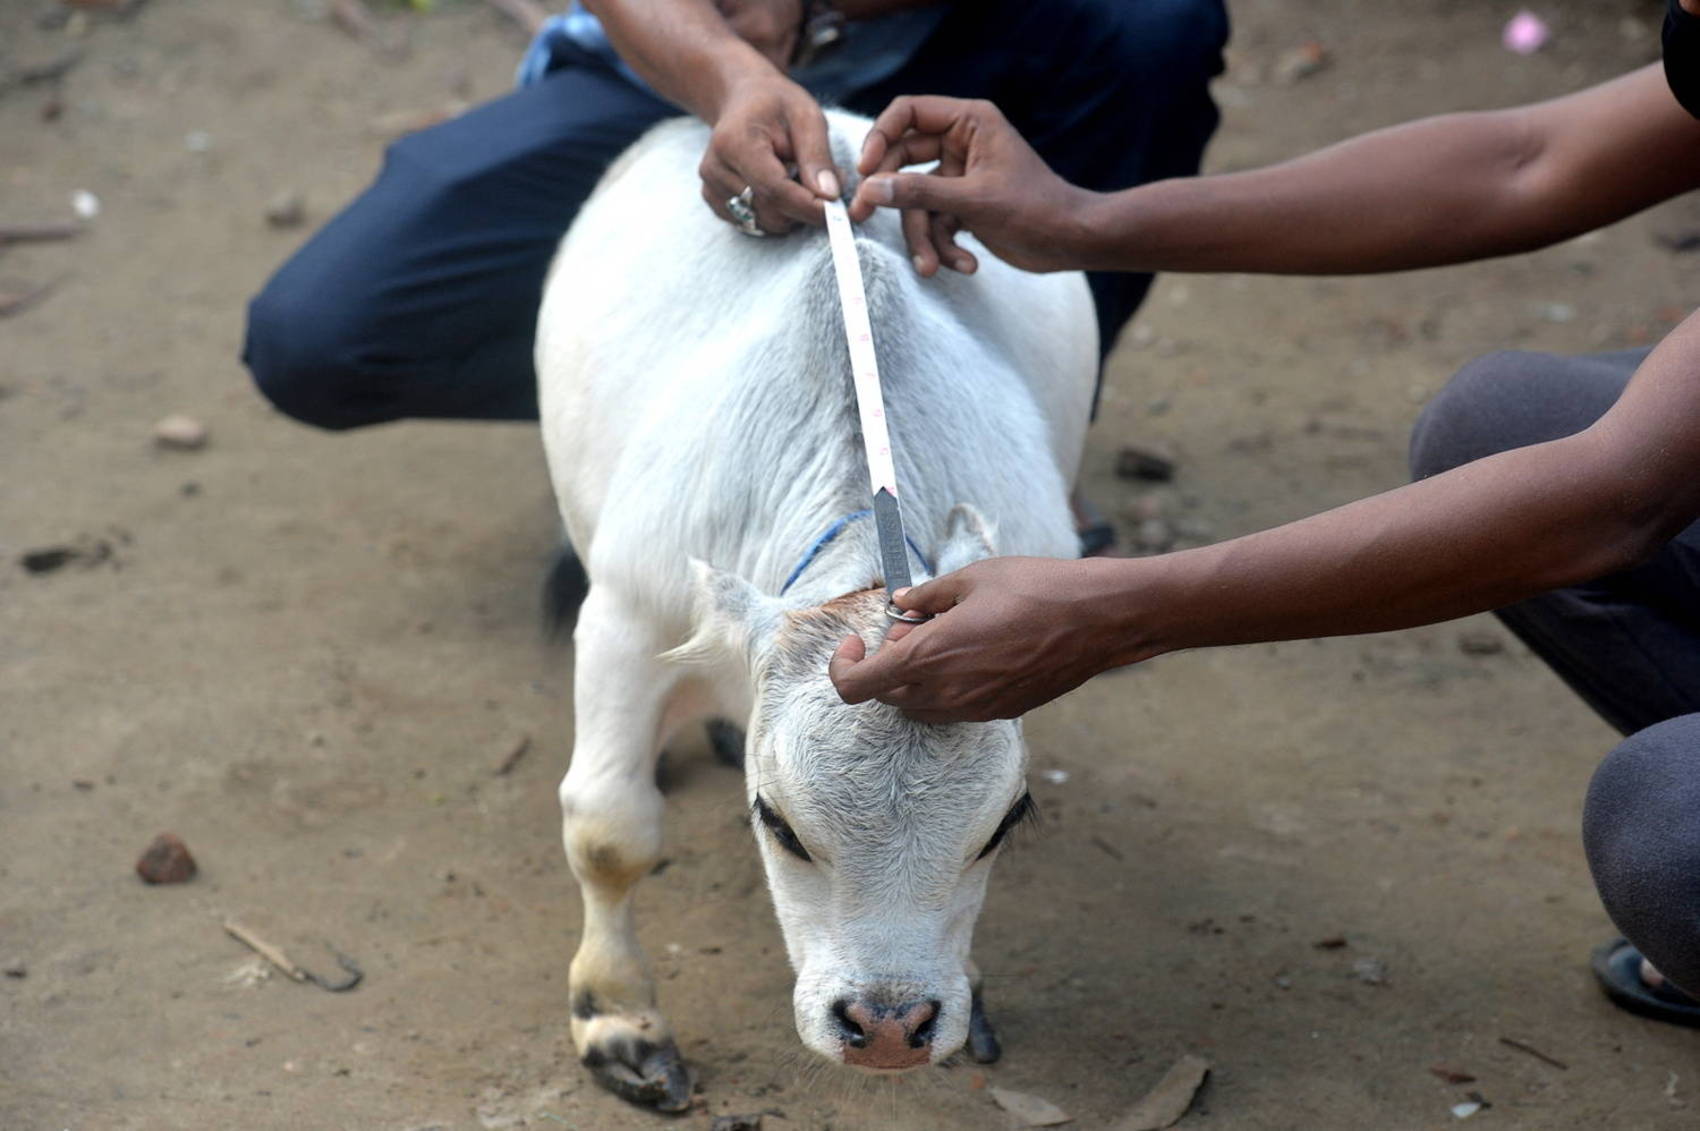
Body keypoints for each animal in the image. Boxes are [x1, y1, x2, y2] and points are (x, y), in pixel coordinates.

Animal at [537, 110, 1094, 1108]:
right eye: (778, 823)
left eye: (1005, 823)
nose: (890, 1025)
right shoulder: (626, 622)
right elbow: (608, 831)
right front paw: (618, 1018)